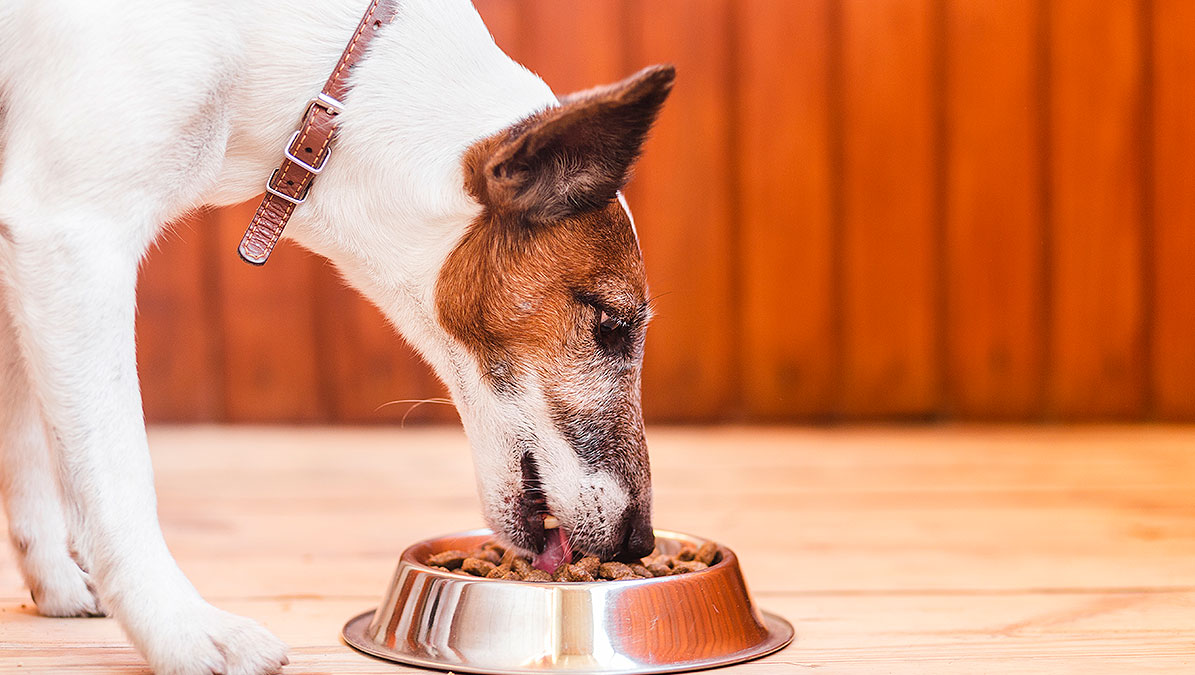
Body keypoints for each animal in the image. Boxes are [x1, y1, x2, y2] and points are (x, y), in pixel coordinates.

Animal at [0, 0, 673, 669]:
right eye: (612, 324)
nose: (639, 545)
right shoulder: (74, 235)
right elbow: (117, 476)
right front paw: (180, 630)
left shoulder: (27, 258)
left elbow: (28, 442)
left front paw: (55, 581)